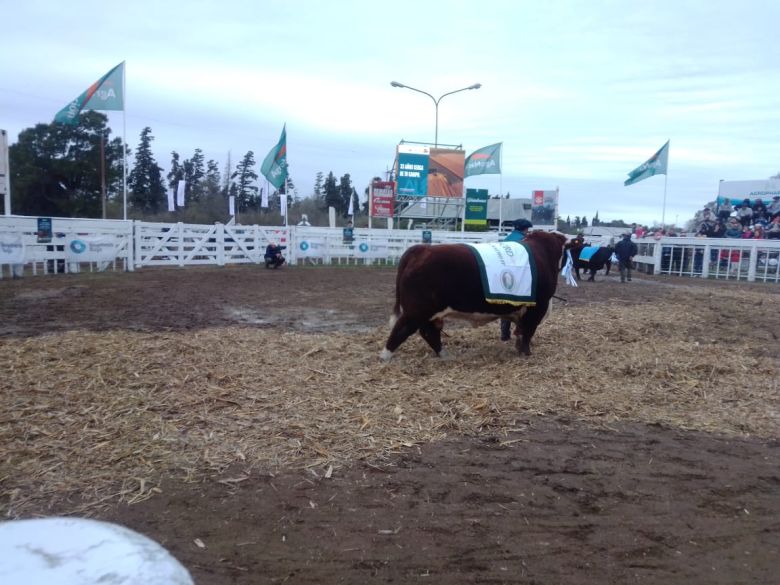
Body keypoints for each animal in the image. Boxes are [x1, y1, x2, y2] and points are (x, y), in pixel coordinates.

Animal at [380, 229, 568, 358]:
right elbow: (528, 332)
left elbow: (521, 332)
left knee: (429, 332)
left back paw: (444, 355)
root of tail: (421, 249)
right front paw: (526, 353)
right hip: (417, 309)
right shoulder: (537, 308)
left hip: (429, 312)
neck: (544, 253)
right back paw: (385, 356)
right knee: (402, 329)